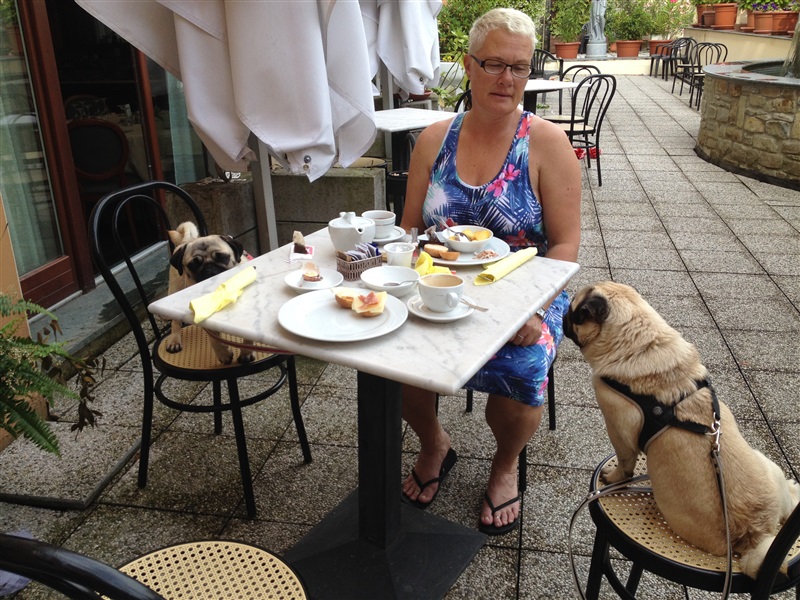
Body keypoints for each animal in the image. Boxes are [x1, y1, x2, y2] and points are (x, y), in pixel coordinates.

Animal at [165, 222, 253, 364]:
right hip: (175, 290)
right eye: (193, 265)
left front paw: (246, 353)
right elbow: (214, 340)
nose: (209, 267)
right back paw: (174, 340)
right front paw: (223, 354)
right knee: (175, 322)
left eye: (223, 257)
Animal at [563, 281, 800, 578]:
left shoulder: (618, 431)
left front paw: (614, 477)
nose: (562, 315)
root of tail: (754, 534)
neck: (639, 343)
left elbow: (625, 464)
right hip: (768, 464)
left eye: (573, 312)